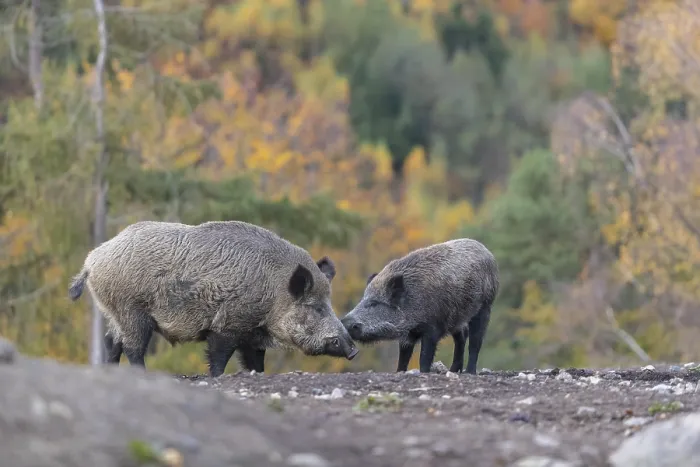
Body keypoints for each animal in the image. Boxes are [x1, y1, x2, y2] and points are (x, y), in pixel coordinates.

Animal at [69, 220, 358, 377]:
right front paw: (218, 377)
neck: (274, 291)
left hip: (115, 312)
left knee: (111, 341)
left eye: (328, 303)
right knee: (132, 347)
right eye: (316, 307)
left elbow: (255, 361)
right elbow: (219, 356)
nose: (353, 349)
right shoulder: (228, 324)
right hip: (132, 311)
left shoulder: (251, 334)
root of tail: (91, 261)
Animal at [341, 238, 498, 374]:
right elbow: (403, 357)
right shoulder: (408, 334)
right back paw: (453, 371)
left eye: (374, 303)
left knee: (475, 340)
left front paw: (424, 372)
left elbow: (424, 356)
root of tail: (487, 253)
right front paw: (399, 372)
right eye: (363, 299)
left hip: (485, 306)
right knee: (462, 336)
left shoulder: (432, 328)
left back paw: (469, 372)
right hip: (457, 317)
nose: (344, 322)